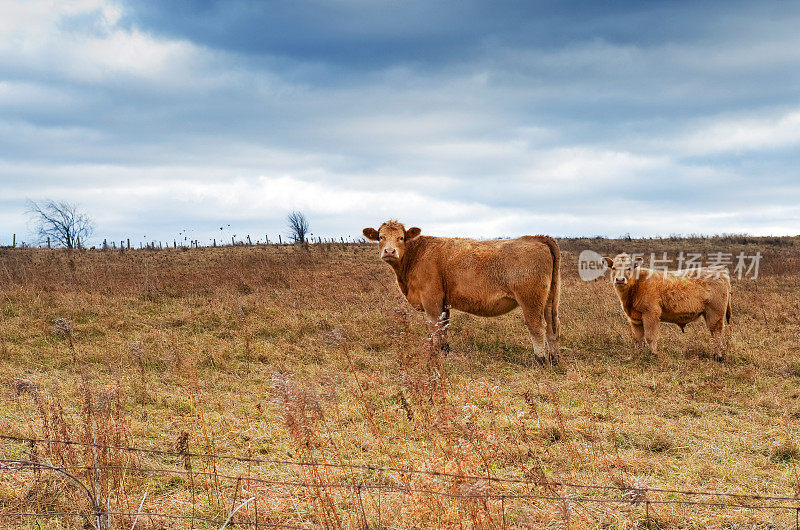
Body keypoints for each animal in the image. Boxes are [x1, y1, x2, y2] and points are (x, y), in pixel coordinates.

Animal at [364, 220, 564, 364]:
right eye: (381, 237)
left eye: (401, 237)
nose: (390, 251)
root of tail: (538, 237)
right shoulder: (444, 303)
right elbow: (444, 328)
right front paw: (444, 352)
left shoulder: (431, 301)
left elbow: (435, 329)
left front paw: (434, 356)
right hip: (550, 299)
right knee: (552, 326)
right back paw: (554, 360)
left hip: (531, 300)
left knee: (537, 327)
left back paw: (540, 361)